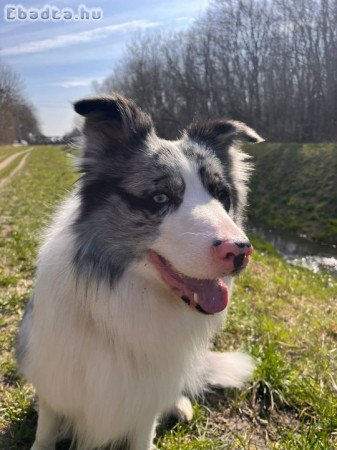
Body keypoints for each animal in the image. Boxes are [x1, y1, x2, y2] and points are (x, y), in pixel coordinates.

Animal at [15, 92, 262, 450]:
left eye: (221, 195)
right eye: (160, 197)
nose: (240, 250)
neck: (124, 298)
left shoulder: (144, 400)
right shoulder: (55, 381)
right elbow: (46, 430)